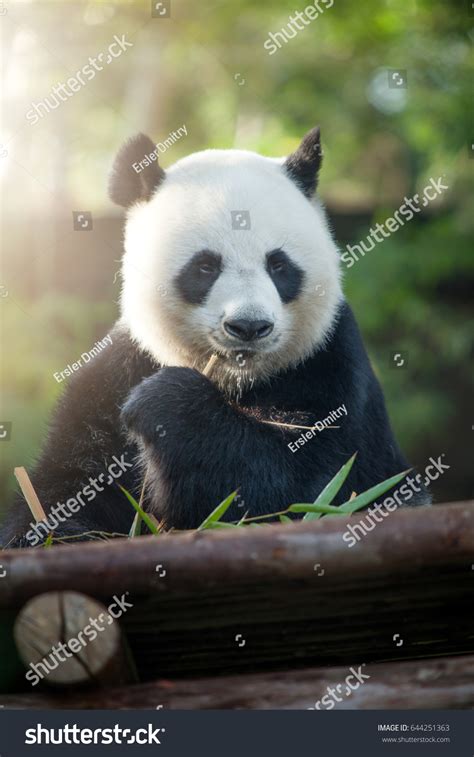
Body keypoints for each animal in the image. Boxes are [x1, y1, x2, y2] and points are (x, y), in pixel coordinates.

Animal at [0, 127, 430, 548]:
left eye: (278, 265)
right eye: (205, 266)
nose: (249, 326)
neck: (234, 380)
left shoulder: (329, 364)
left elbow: (303, 486)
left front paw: (168, 402)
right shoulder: (121, 371)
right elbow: (66, 484)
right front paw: (51, 535)